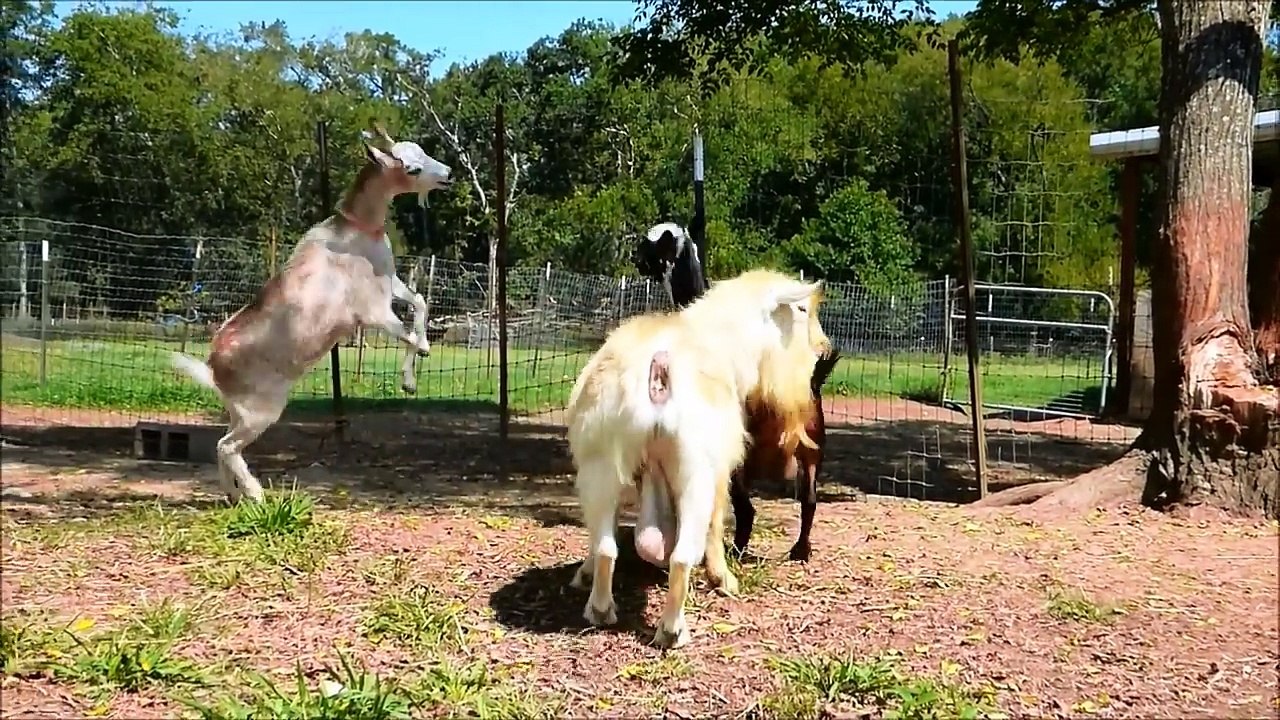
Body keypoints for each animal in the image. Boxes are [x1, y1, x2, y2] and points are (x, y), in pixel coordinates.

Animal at [170, 123, 452, 503]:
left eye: (421, 151)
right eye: (412, 169)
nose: (448, 175)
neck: (355, 231)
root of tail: (214, 367)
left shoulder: (389, 283)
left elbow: (420, 302)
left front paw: (421, 356)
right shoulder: (371, 311)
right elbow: (405, 333)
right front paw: (412, 370)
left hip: (239, 412)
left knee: (223, 445)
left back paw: (233, 496)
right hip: (262, 411)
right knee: (226, 446)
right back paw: (257, 495)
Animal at [566, 268, 829, 648]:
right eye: (802, 310)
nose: (824, 347)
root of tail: (658, 367)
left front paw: (583, 575)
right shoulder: (719, 471)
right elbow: (717, 523)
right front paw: (723, 579)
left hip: (600, 464)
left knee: (605, 546)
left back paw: (600, 609)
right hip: (693, 470)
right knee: (681, 554)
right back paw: (672, 630)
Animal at [634, 222, 841, 562]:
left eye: (649, 244)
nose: (635, 259)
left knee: (746, 508)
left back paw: (736, 549)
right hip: (813, 445)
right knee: (809, 499)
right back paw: (800, 549)